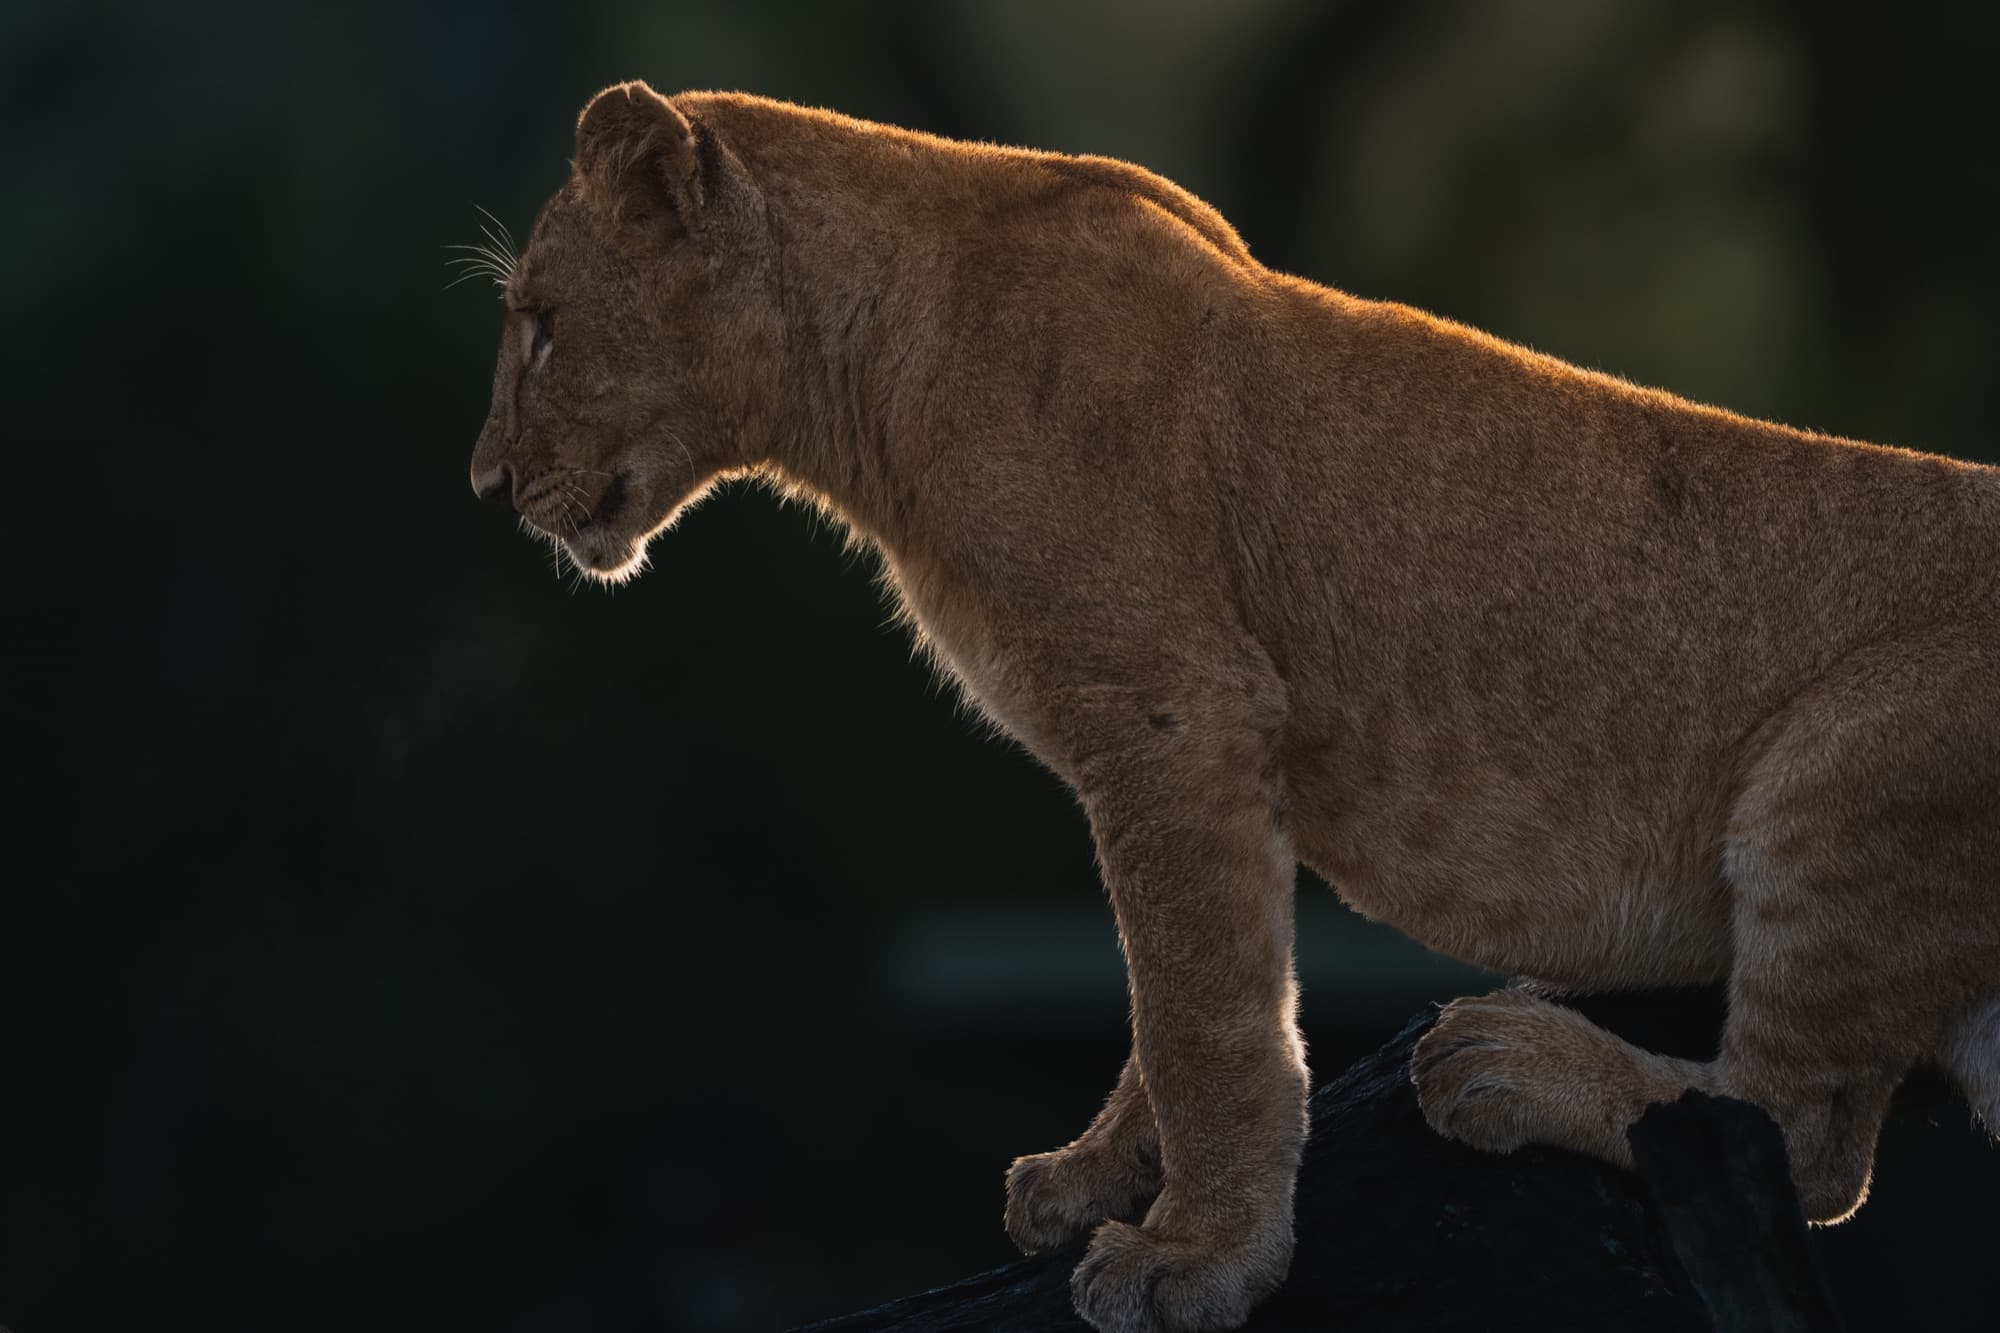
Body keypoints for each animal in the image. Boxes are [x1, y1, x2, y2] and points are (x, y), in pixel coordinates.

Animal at [465, 80, 2000, 1333]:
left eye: (539, 326)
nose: (485, 485)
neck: (866, 392)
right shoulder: (1184, 751)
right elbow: (1183, 981)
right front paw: (1101, 1174)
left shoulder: (1175, 708)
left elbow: (1202, 1013)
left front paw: (1194, 1259)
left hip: (1846, 758)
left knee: (1807, 1132)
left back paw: (1505, 1060)